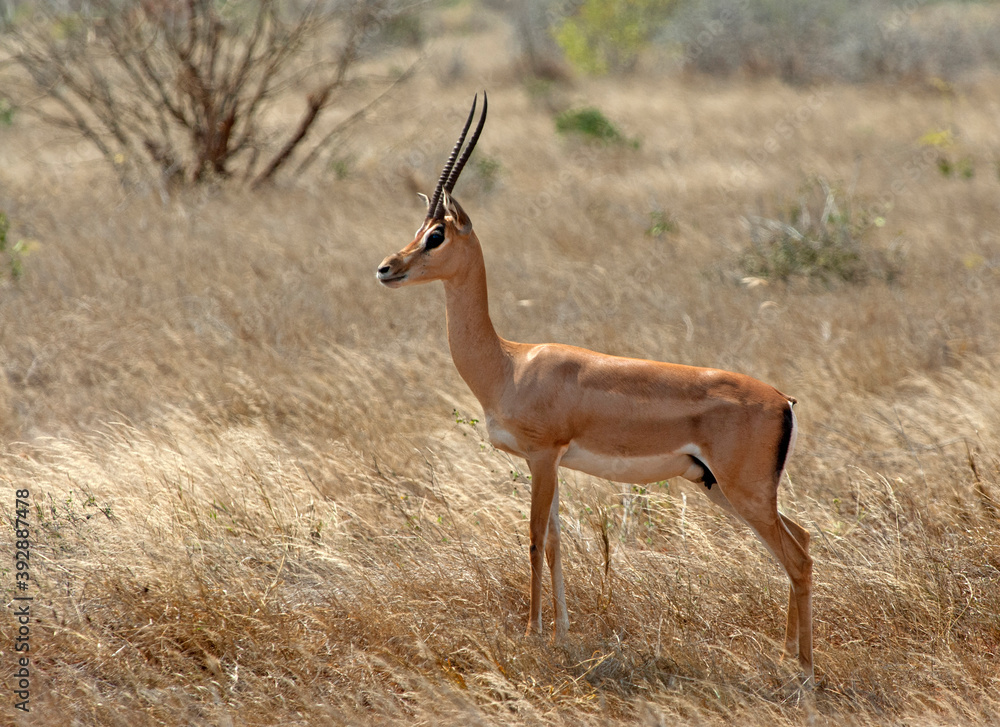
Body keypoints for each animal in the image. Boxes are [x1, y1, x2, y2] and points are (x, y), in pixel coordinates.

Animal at [376, 93, 814, 681]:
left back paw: (804, 671)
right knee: (801, 541)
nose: (386, 268)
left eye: (436, 235)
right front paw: (561, 634)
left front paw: (532, 635)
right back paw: (786, 656)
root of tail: (783, 400)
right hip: (721, 487)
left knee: (797, 557)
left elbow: (535, 539)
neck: (509, 363)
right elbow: (559, 542)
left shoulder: (542, 457)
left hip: (742, 492)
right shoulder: (554, 463)